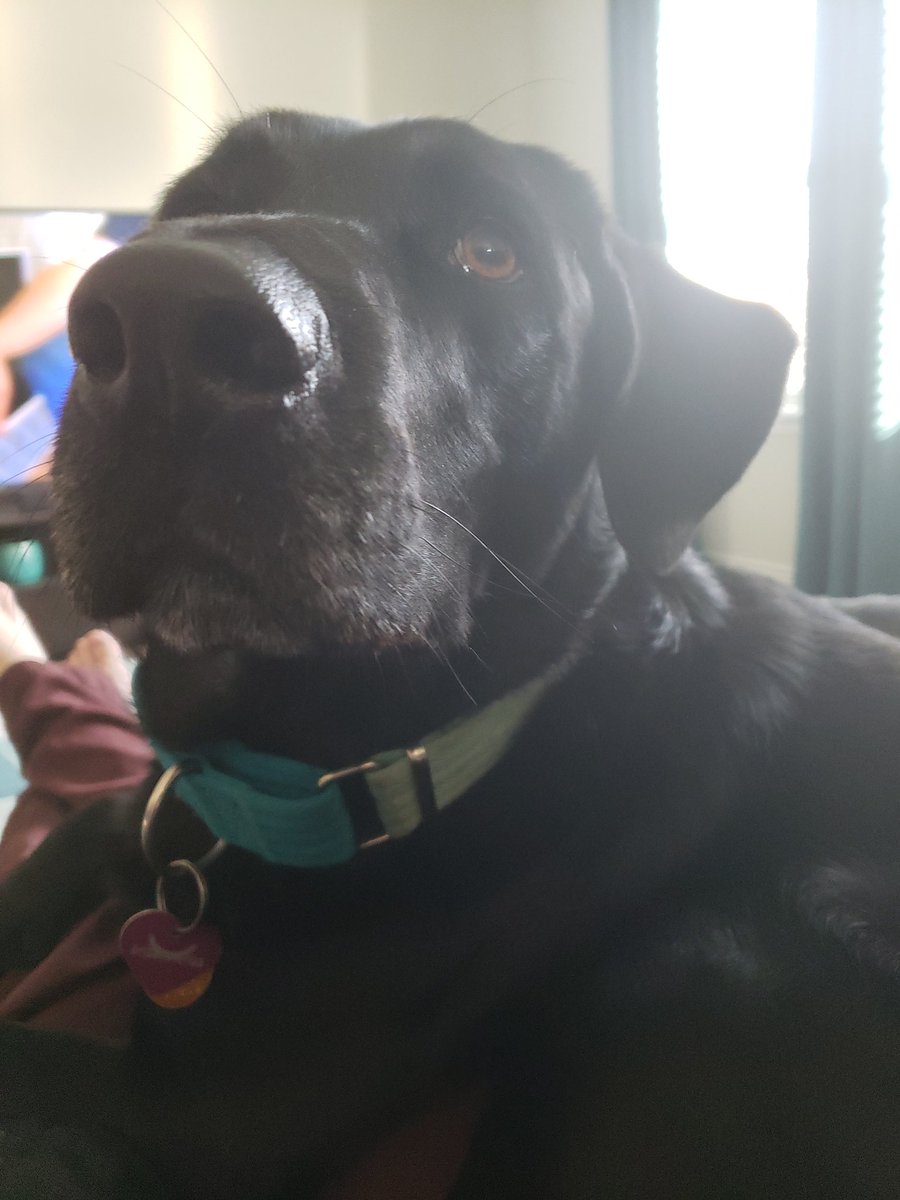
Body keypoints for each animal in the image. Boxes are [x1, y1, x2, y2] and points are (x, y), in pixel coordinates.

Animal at [2, 110, 900, 1199]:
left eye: (492, 251)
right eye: (195, 205)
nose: (161, 311)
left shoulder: (201, 1115)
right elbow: (77, 830)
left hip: (701, 966)